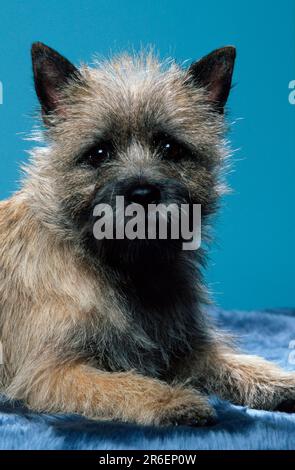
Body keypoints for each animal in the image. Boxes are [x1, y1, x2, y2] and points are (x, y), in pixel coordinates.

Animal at [0, 43, 294, 426]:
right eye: (98, 153)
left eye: (171, 148)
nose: (142, 193)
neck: (130, 269)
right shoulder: (51, 372)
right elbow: (118, 385)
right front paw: (172, 400)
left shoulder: (184, 349)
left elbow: (235, 363)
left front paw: (281, 381)